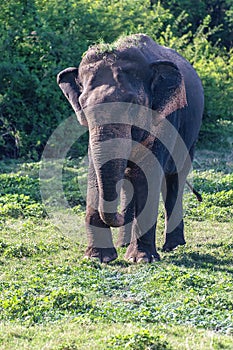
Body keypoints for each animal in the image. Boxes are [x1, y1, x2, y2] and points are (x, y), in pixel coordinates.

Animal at [57, 33, 204, 262]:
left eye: (133, 105)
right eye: (84, 106)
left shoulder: (164, 120)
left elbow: (147, 176)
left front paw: (141, 259)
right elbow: (95, 174)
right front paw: (98, 258)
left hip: (190, 136)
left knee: (175, 180)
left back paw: (172, 246)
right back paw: (124, 243)